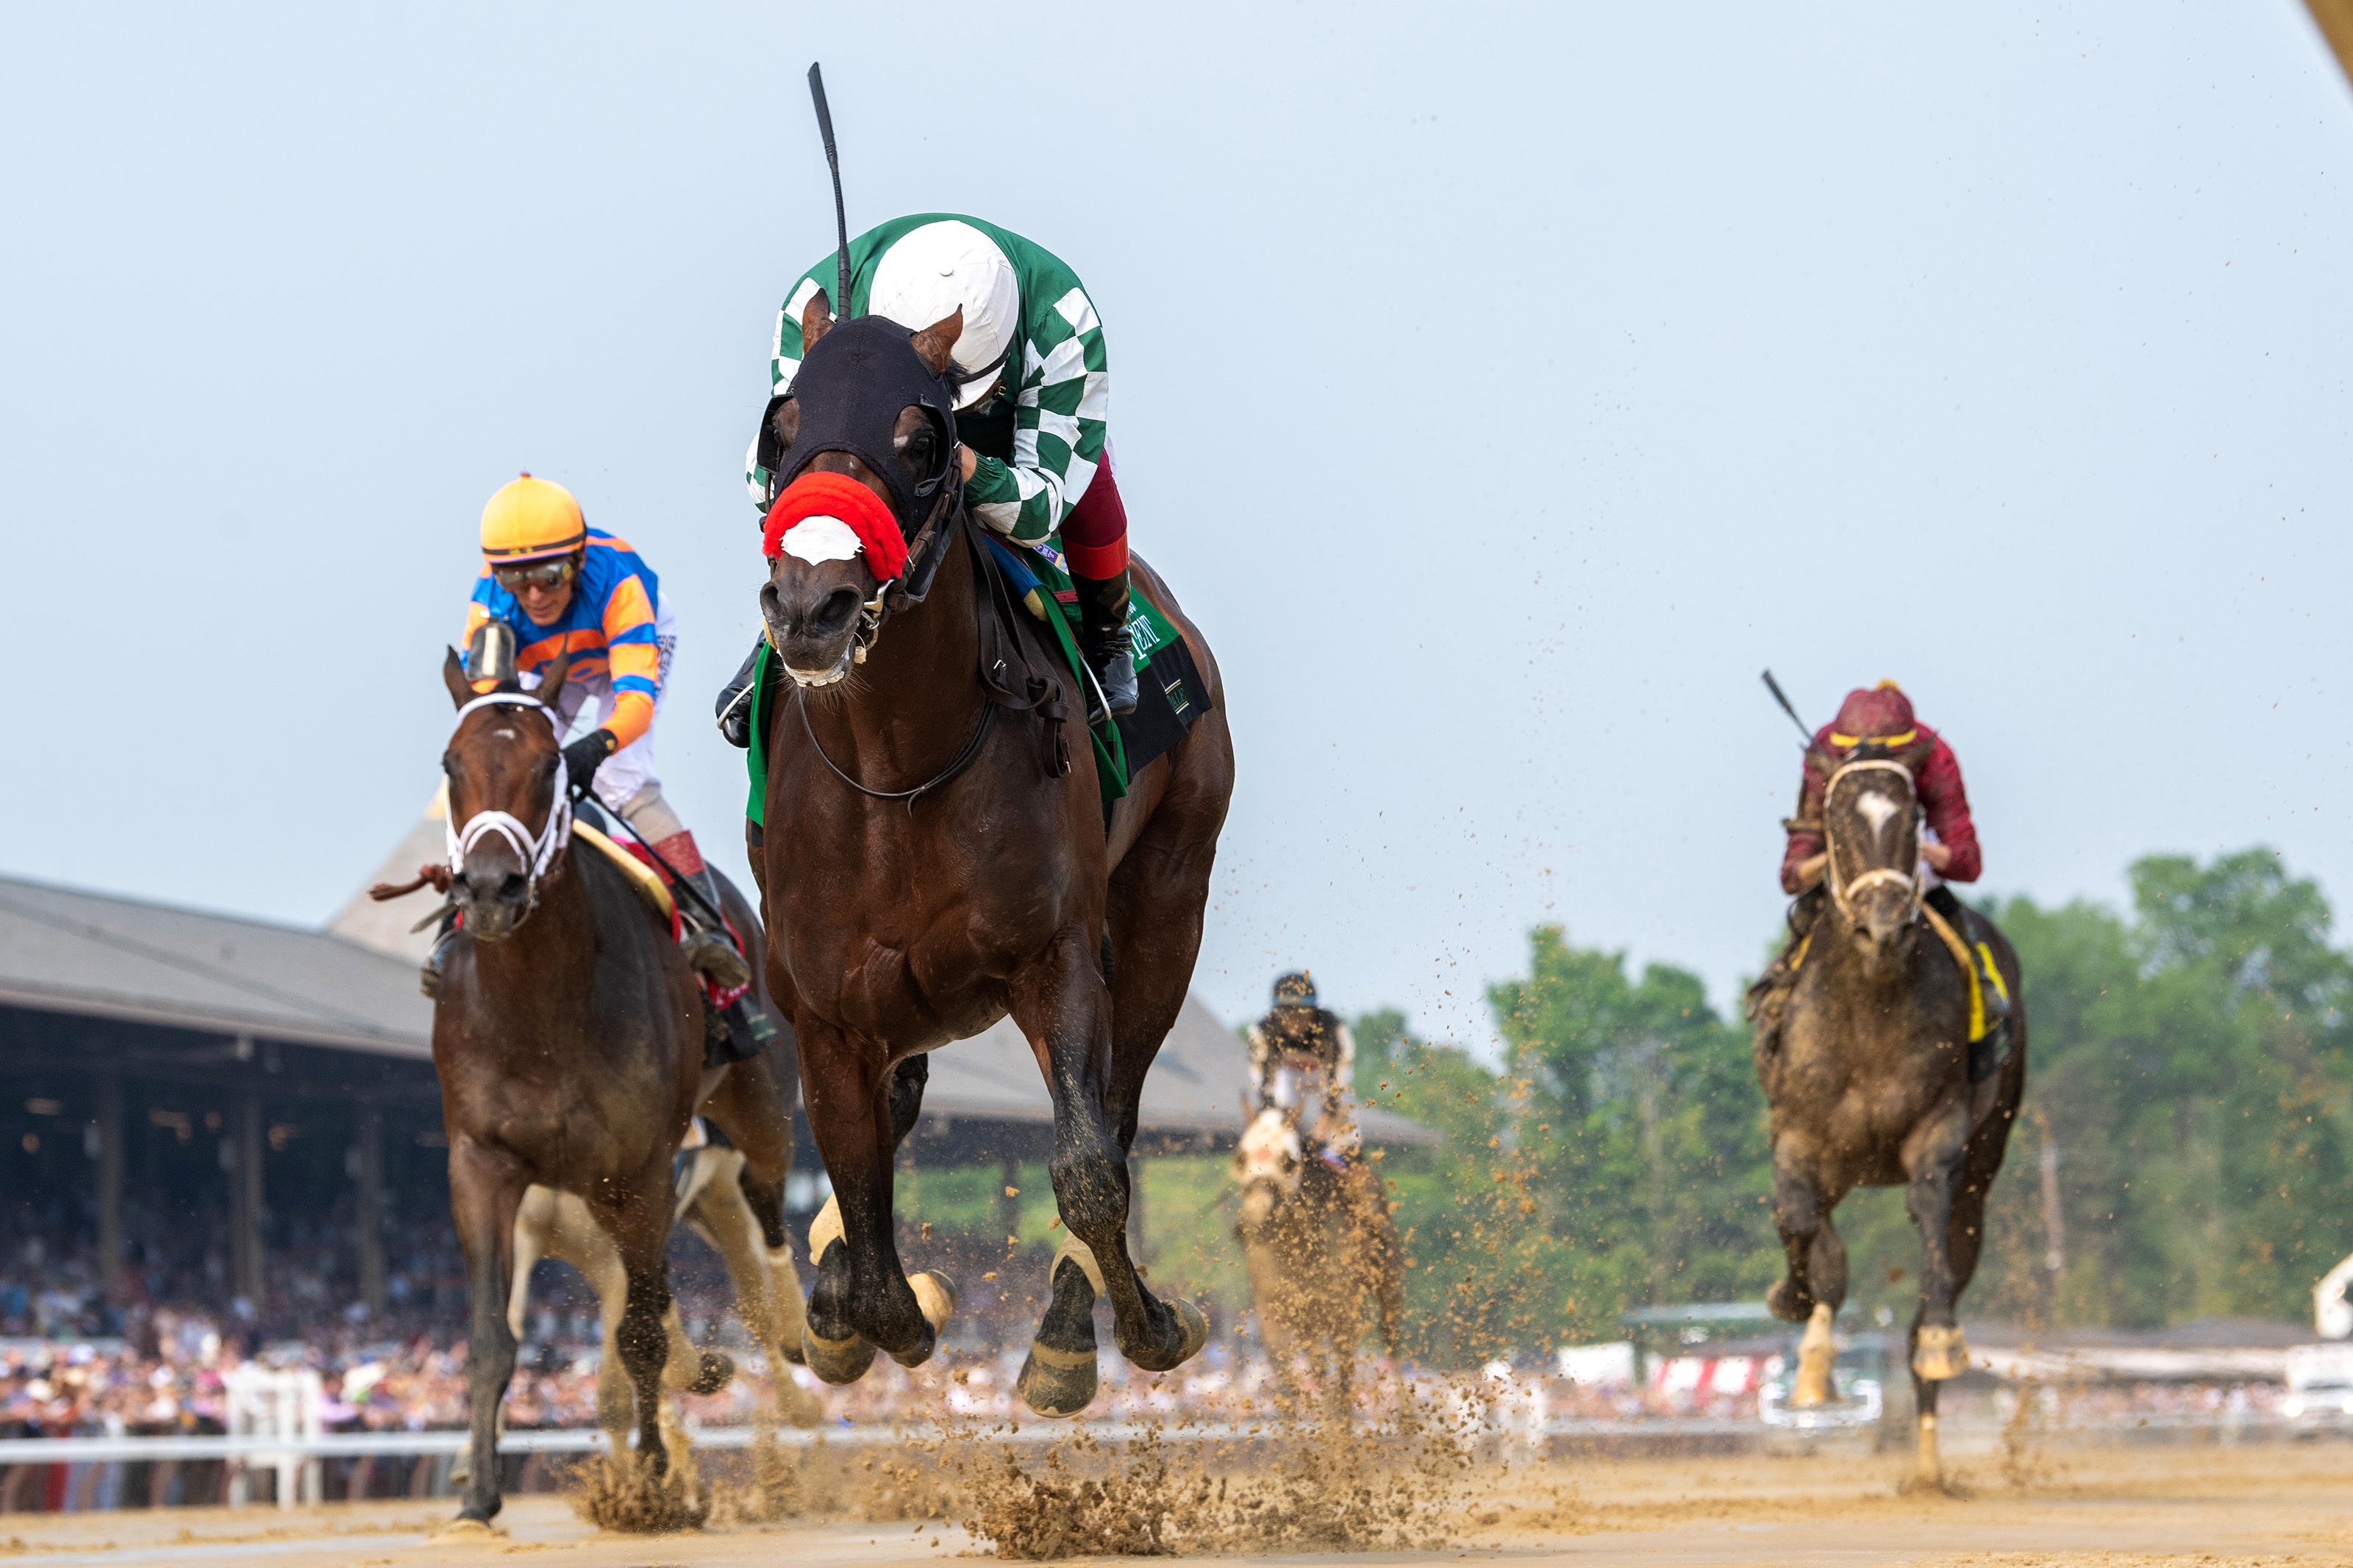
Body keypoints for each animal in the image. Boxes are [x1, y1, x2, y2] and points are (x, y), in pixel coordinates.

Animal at [419, 648, 806, 1524]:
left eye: (549, 766)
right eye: (452, 764)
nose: (488, 887)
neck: (541, 1014)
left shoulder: (639, 1174)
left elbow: (639, 1339)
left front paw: (656, 1483)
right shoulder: (487, 1168)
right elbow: (496, 1336)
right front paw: (477, 1494)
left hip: (750, 1119)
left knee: (766, 1234)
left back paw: (802, 1345)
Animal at [749, 298, 1235, 1417]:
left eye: (921, 441)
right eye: (781, 431)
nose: (810, 607)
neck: (897, 769)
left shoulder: (1054, 958)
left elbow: (1092, 1168)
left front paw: (1137, 1328)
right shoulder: (826, 1013)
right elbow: (865, 1221)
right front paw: (850, 1306)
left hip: (1168, 902)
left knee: (1118, 1108)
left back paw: (1066, 1334)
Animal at [1233, 1109, 1404, 1420]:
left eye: (1288, 1161)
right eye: (1241, 1158)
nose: (1255, 1215)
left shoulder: (1344, 1312)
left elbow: (1344, 1380)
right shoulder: (1277, 1311)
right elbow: (1291, 1374)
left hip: (1388, 1282)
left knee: (1390, 1340)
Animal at [1756, 749, 2028, 1485]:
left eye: (1910, 821)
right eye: (1839, 822)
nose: (1882, 923)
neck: (1871, 1004)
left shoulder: (1939, 1129)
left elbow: (1930, 1213)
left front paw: (1938, 1340)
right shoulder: (1801, 1136)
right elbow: (1804, 1231)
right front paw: (1804, 1331)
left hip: (1985, 1169)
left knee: (1951, 1252)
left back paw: (1929, 1460)